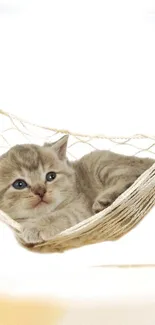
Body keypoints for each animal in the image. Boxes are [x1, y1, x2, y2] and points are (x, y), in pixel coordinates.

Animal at [0, 134, 153, 243]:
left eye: (51, 176)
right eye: (19, 184)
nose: (41, 192)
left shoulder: (80, 206)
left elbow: (59, 215)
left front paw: (36, 227)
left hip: (102, 164)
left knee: (131, 177)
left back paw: (106, 201)